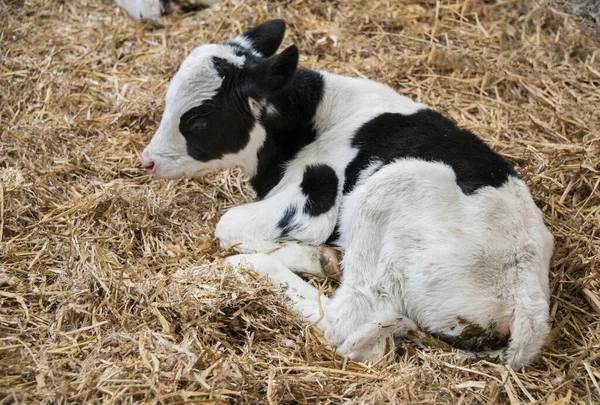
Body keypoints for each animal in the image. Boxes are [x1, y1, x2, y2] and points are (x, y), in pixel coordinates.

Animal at [141, 19, 552, 370]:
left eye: (199, 120)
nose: (147, 161)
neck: (309, 122)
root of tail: (525, 294)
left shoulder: (313, 200)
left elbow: (228, 225)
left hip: (385, 191)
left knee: (348, 320)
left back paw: (265, 265)